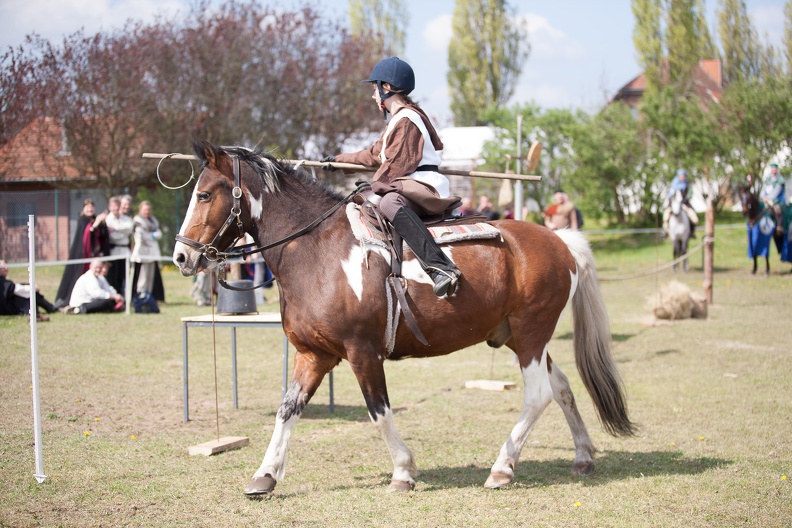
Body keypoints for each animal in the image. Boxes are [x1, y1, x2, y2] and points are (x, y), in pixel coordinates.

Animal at [173, 140, 636, 496]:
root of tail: (560, 240)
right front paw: (265, 475)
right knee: (561, 388)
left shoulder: (363, 353)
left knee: (538, 394)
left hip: (530, 335)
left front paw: (403, 471)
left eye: (204, 195)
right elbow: (288, 410)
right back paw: (582, 455)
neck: (318, 251)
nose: (180, 256)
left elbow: (378, 411)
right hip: (520, 339)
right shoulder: (313, 354)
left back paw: (502, 467)